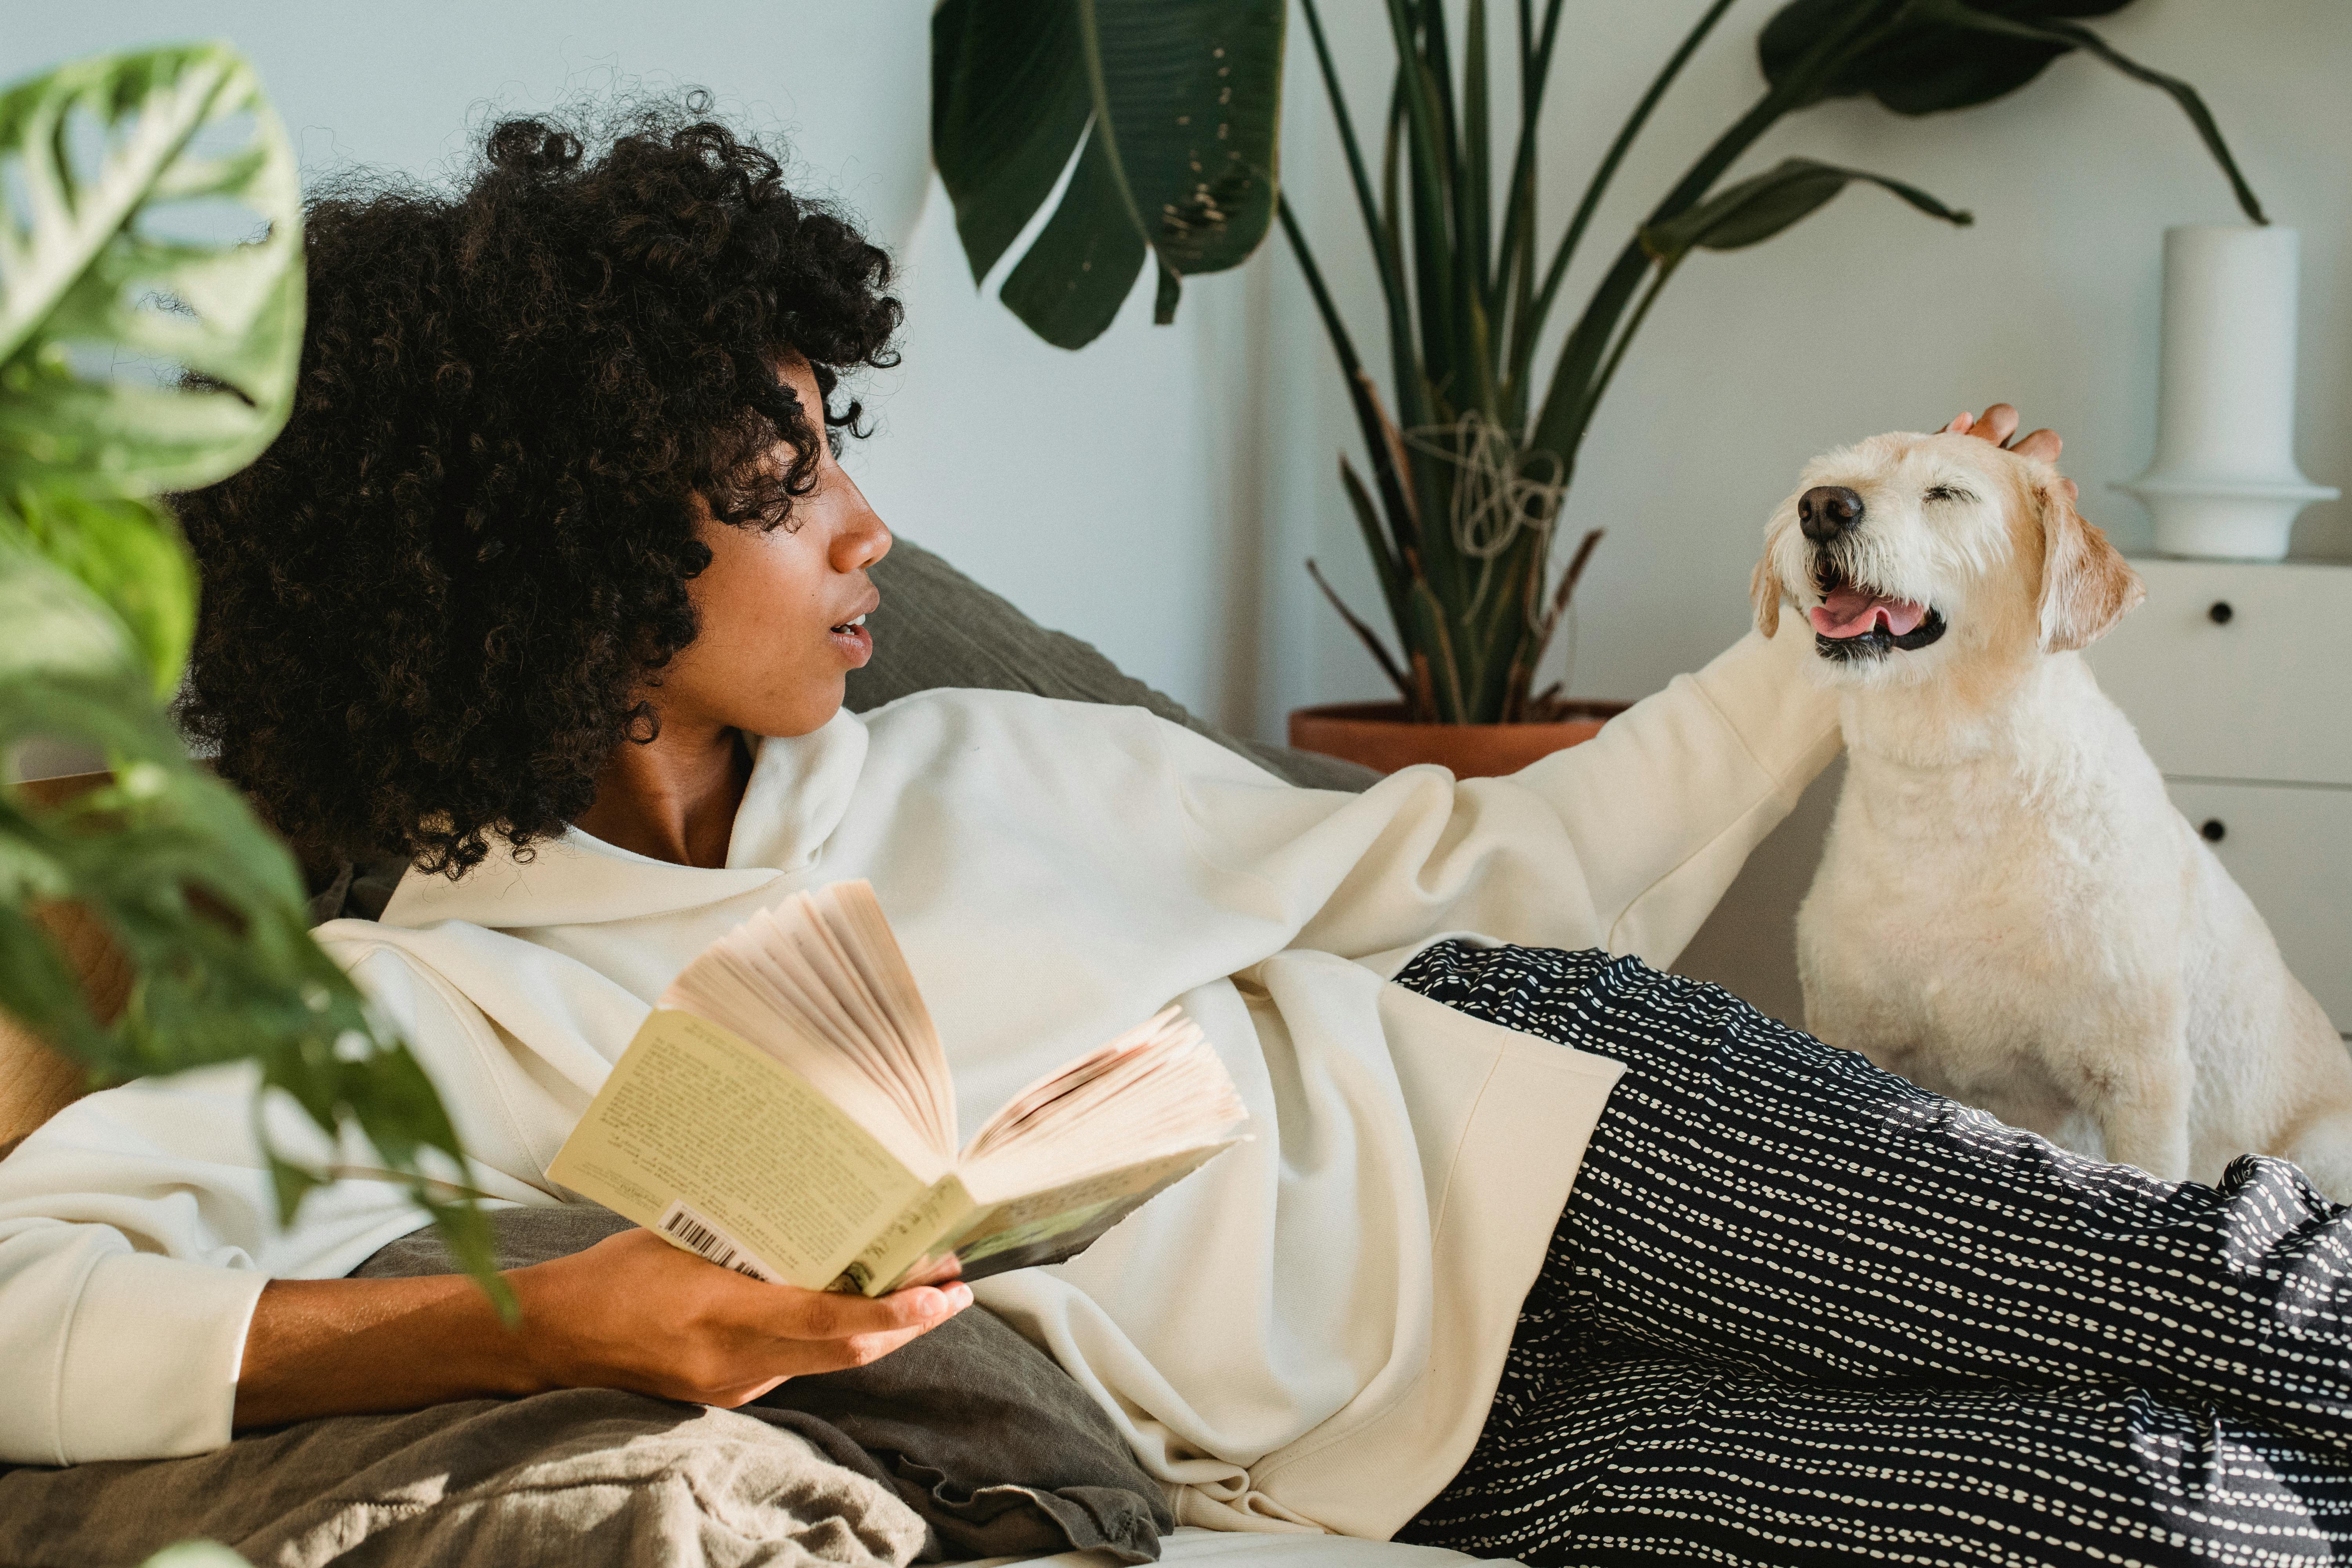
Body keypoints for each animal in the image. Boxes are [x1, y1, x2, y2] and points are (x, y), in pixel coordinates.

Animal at [1769, 430, 2352, 1189]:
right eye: (1825, 477)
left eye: (1947, 493)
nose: (1821, 508)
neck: (1949, 787)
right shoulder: (1844, 1036)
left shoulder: (2140, 1087)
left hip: (2323, 1151)